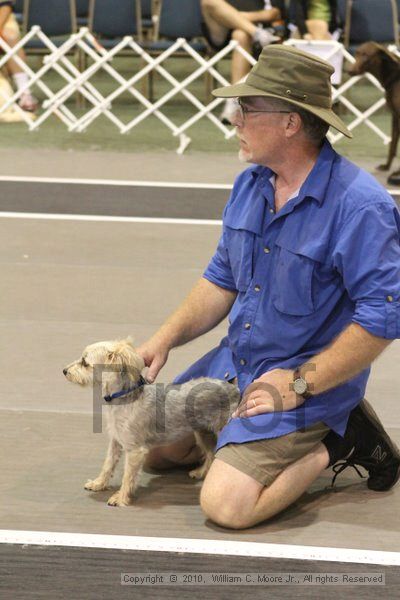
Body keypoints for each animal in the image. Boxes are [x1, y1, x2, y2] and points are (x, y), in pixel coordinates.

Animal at [63, 340, 239, 504]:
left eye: (85, 363)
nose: (64, 371)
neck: (123, 399)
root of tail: (234, 389)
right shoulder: (116, 441)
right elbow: (108, 465)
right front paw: (98, 484)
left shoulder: (134, 451)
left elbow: (128, 476)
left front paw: (121, 498)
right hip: (202, 433)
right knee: (210, 454)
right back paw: (200, 472)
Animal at [348, 41, 400, 185]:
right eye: (357, 53)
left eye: (366, 55)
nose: (350, 70)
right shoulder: (395, 116)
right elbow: (392, 145)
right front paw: (386, 166)